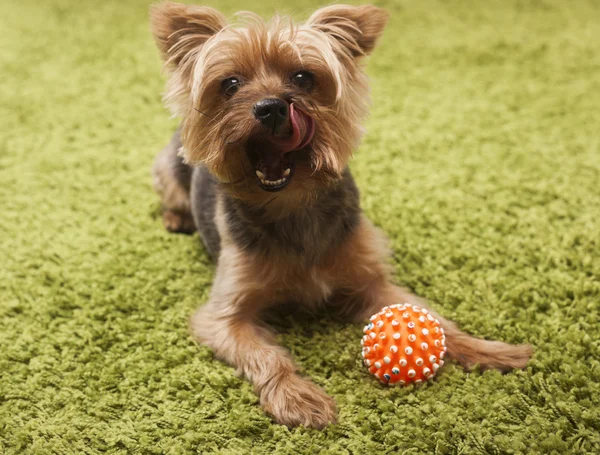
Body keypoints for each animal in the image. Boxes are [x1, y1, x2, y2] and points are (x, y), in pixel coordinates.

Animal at [149, 1, 528, 430]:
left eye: (303, 77)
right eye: (230, 84)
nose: (271, 107)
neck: (293, 206)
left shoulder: (371, 280)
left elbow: (437, 320)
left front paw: (490, 350)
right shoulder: (223, 316)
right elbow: (267, 355)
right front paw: (298, 398)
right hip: (166, 168)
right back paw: (176, 218)